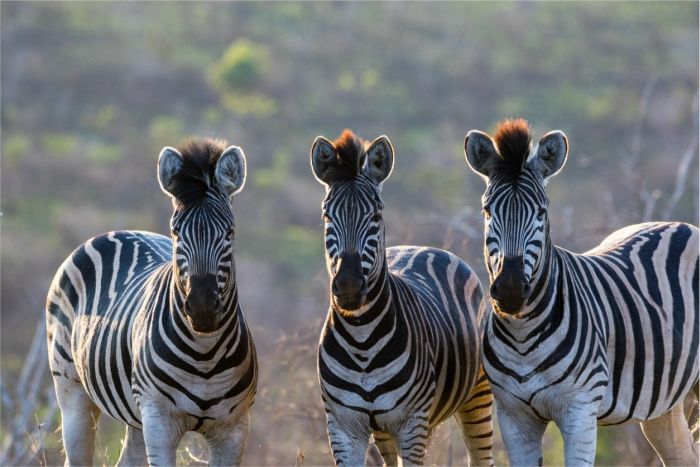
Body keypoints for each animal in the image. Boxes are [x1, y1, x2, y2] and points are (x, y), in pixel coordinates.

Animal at [46, 138, 257, 466]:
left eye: (229, 232)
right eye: (176, 232)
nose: (203, 309)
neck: (205, 355)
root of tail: (120, 231)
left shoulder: (234, 427)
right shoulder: (159, 420)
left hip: (136, 417)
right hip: (71, 389)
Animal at [310, 129, 494, 466]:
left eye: (376, 215)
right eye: (327, 216)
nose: (349, 287)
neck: (362, 343)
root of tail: (421, 247)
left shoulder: (411, 423)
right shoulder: (342, 425)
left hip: (477, 395)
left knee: (481, 457)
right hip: (384, 430)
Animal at [463, 118, 699, 466]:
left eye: (541, 213)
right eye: (488, 212)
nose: (510, 291)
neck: (522, 336)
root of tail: (683, 225)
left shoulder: (580, 409)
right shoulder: (512, 415)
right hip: (664, 403)